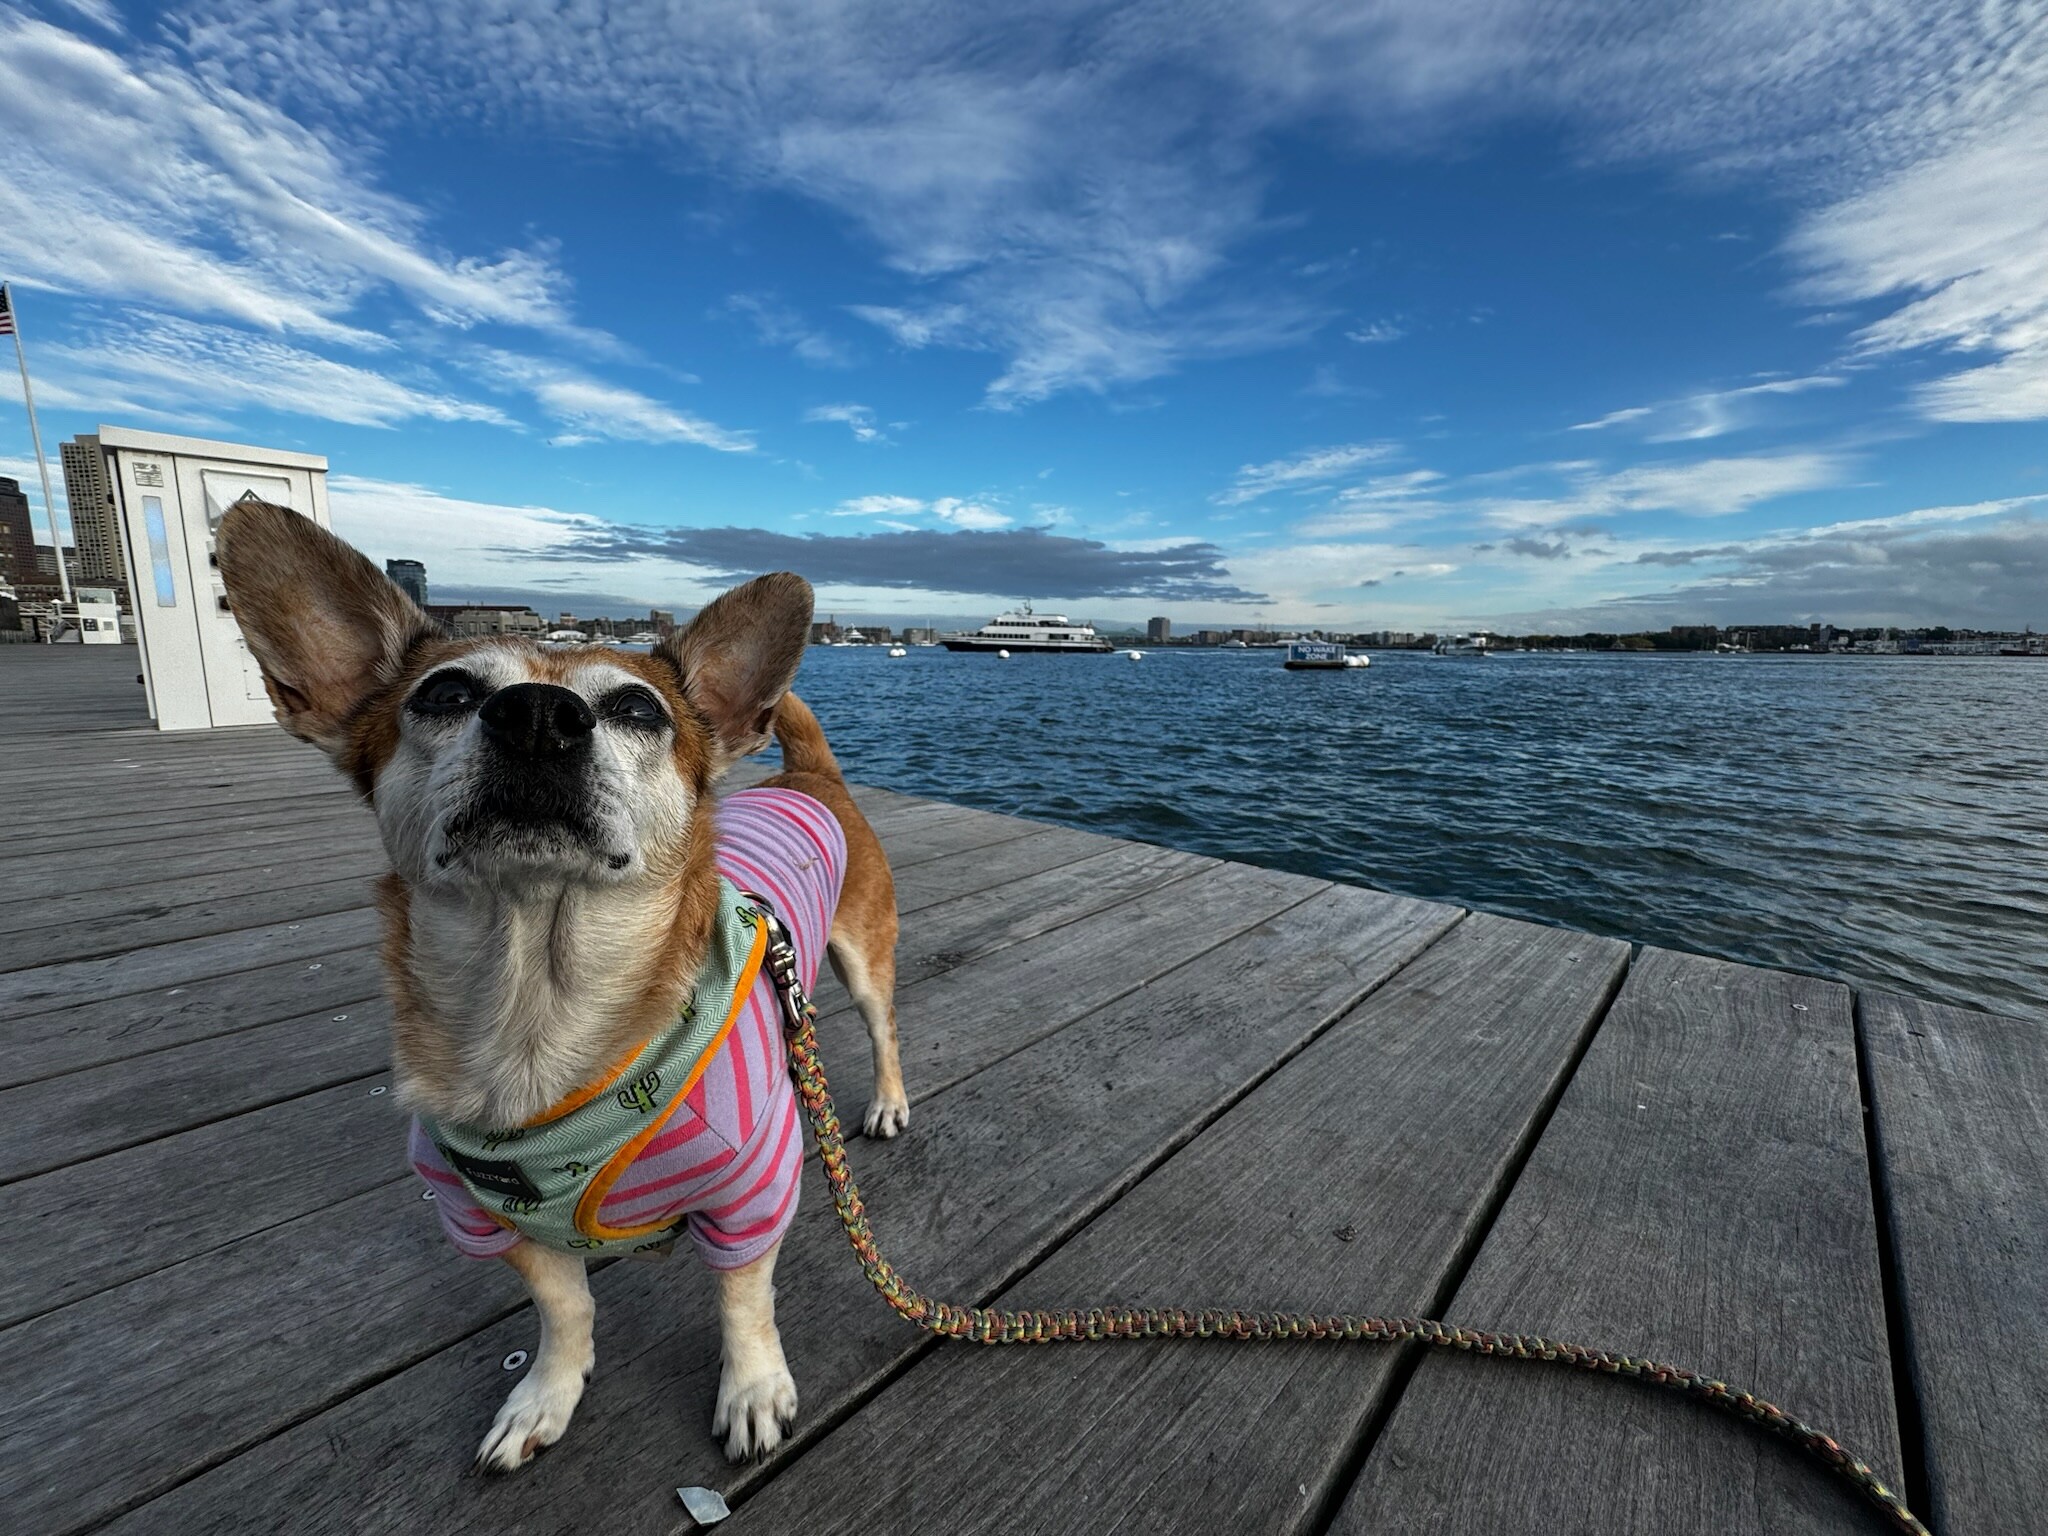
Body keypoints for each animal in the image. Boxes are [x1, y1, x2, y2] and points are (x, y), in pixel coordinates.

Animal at [216, 500, 907, 1472]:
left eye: (636, 708)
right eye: (445, 695)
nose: (538, 714)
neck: (537, 1007)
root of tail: (809, 776)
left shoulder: (750, 1196)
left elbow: (744, 1302)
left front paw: (752, 1390)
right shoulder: (487, 1221)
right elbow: (564, 1305)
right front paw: (547, 1394)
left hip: (863, 961)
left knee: (883, 1031)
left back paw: (886, 1102)